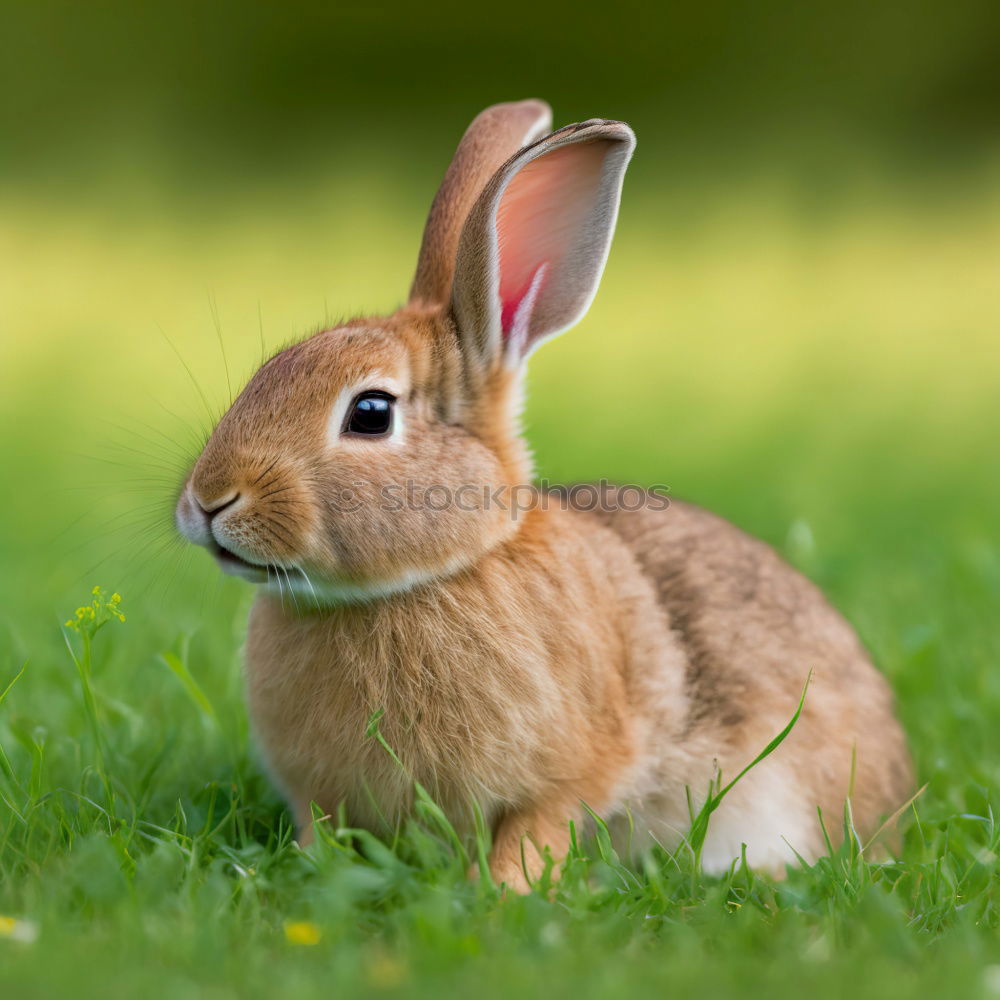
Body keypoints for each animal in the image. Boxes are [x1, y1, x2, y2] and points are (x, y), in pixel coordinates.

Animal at [176, 99, 912, 892]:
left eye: (370, 413)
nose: (208, 501)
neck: (425, 579)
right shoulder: (319, 794)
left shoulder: (572, 776)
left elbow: (536, 832)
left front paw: (499, 893)